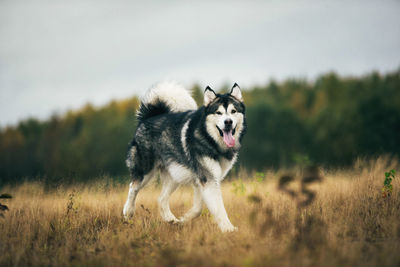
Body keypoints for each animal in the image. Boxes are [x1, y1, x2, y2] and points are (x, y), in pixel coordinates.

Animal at [122, 81, 247, 232]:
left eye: (233, 111)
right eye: (218, 112)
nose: (228, 122)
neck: (210, 140)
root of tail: (148, 117)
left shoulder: (203, 180)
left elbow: (198, 208)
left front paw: (185, 219)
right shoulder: (208, 179)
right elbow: (219, 208)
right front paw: (229, 229)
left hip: (175, 175)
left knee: (161, 199)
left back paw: (171, 219)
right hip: (145, 172)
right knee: (133, 187)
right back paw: (128, 212)